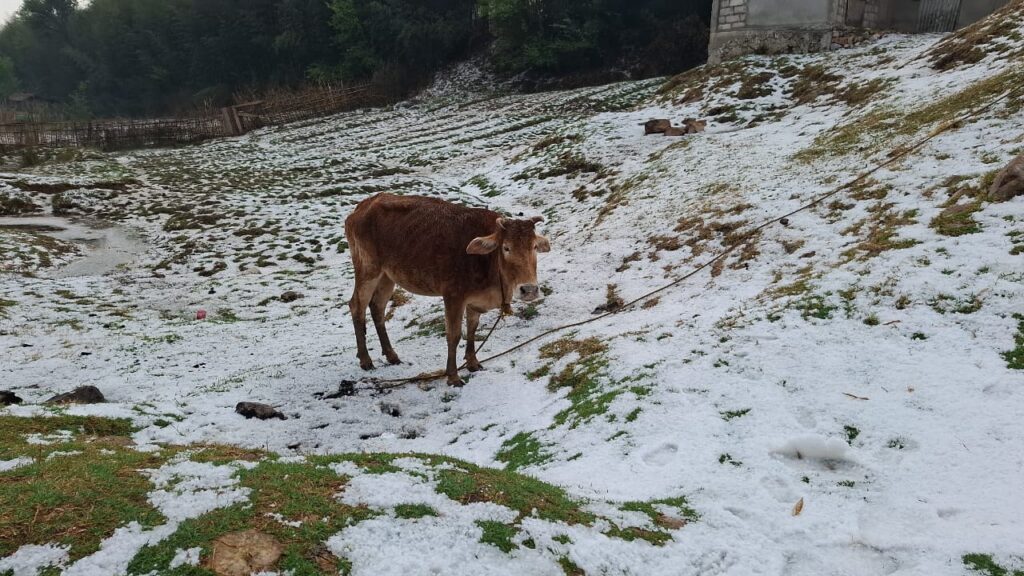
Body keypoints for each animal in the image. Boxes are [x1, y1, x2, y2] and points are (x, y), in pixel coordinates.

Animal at [344, 192, 552, 385]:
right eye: (506, 248)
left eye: (534, 247)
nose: (529, 290)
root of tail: (364, 205)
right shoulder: (453, 295)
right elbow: (454, 335)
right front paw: (453, 376)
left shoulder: (474, 300)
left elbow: (472, 329)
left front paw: (473, 363)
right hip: (368, 269)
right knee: (357, 306)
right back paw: (366, 360)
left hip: (387, 276)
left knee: (377, 307)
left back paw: (391, 355)